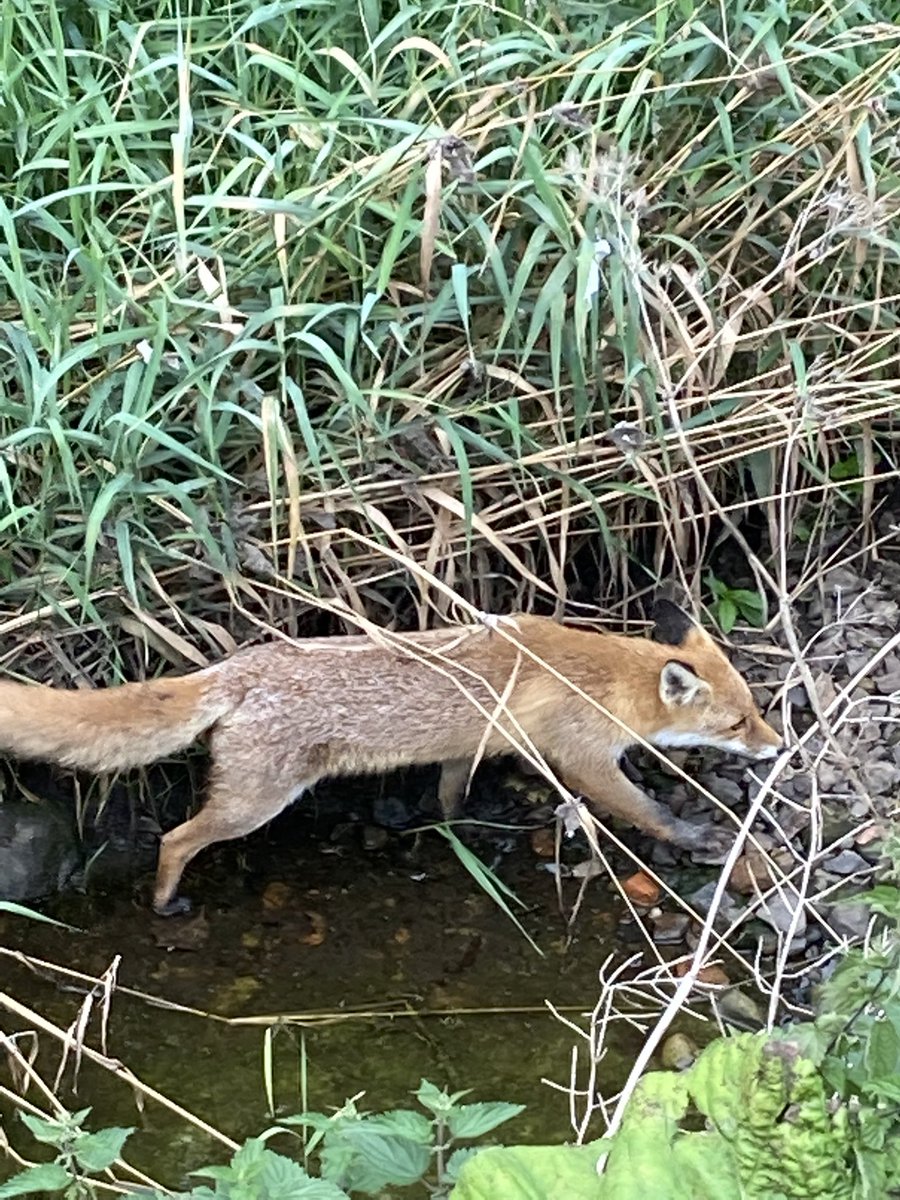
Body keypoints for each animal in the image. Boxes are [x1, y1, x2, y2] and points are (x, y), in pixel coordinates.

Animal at [0, 599, 784, 916]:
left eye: (758, 707)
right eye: (740, 720)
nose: (779, 745)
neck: (601, 675)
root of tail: (237, 668)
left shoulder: (467, 748)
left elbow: (449, 794)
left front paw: (455, 827)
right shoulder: (583, 758)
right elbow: (647, 810)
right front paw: (700, 836)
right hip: (256, 801)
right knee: (176, 838)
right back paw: (165, 905)